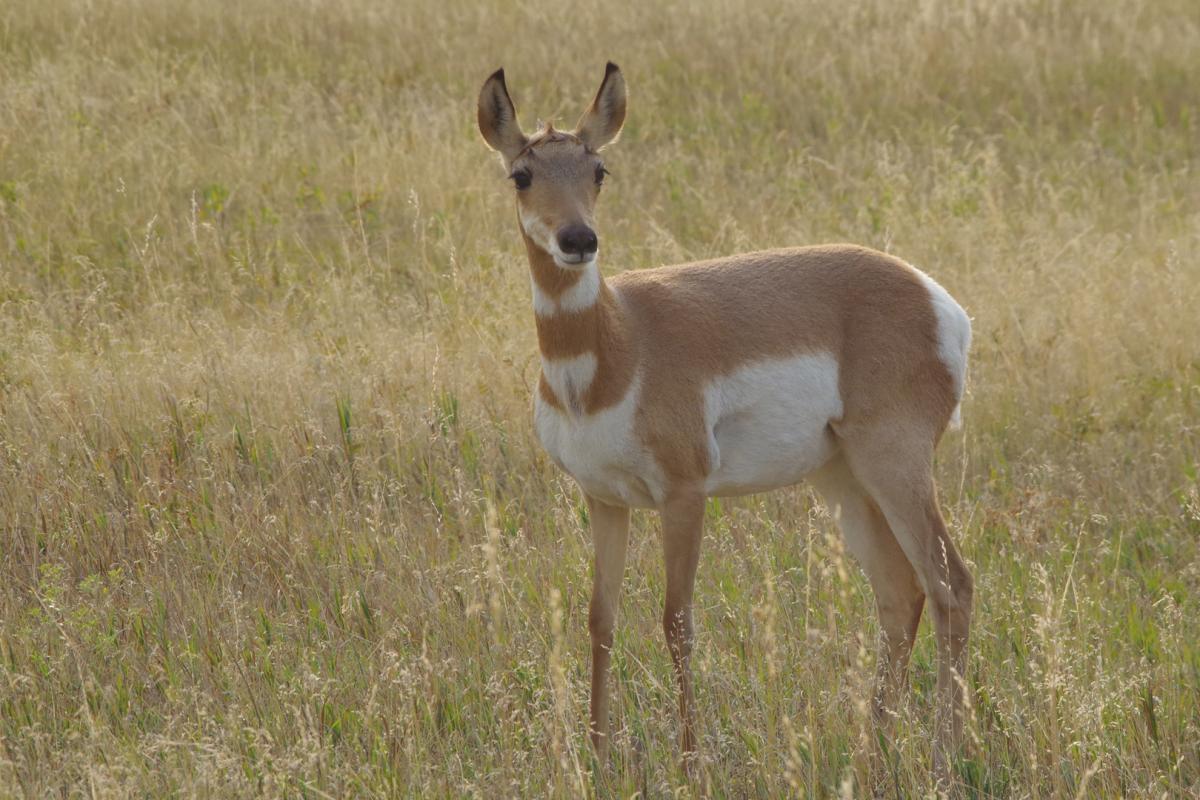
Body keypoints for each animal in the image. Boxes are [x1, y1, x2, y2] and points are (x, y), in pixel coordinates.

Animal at [477, 63, 975, 783]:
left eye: (598, 169)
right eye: (522, 174)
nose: (578, 240)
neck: (618, 343)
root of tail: (936, 299)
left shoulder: (683, 495)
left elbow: (676, 620)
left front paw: (690, 761)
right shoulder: (603, 499)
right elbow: (601, 618)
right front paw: (597, 754)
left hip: (895, 465)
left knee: (949, 584)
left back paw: (944, 755)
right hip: (843, 481)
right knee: (900, 593)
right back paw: (870, 747)